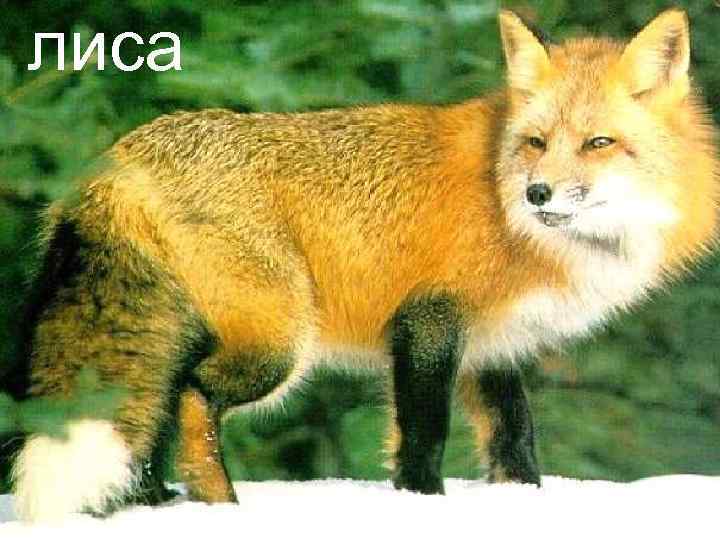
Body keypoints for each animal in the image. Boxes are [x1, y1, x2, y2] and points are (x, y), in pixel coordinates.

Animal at [9, 8, 718, 522]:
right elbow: (424, 434)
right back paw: (222, 509)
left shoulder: (495, 347)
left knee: (154, 408)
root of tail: (121, 154)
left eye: (599, 143)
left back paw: (150, 508)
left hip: (190, 335)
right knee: (190, 399)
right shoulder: (429, 321)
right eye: (536, 143)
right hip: (277, 344)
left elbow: (515, 444)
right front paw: (422, 504)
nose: (537, 194)